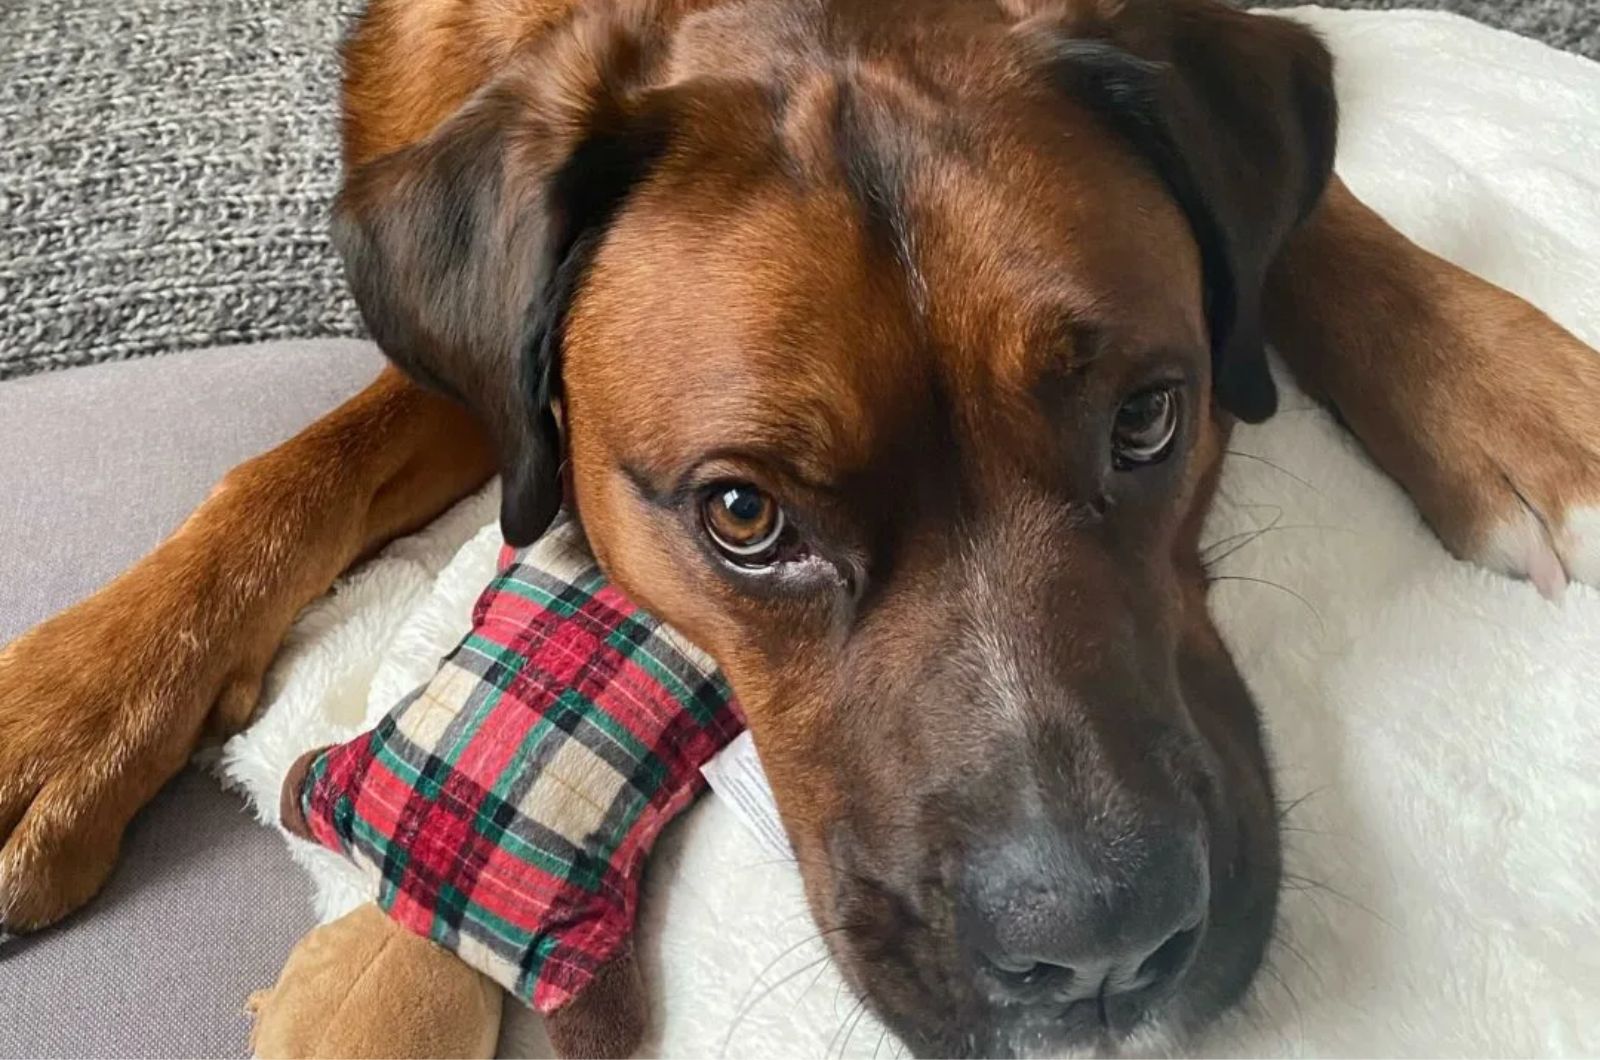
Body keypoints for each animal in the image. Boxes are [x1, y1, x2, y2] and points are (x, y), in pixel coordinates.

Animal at [3, 0, 1600, 1056]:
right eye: (742, 515)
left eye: (1151, 417)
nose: (1097, 955)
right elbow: (299, 470)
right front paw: (70, 712)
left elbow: (1314, 208)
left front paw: (1505, 390)